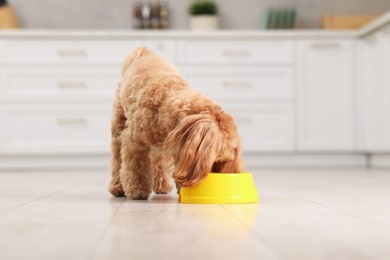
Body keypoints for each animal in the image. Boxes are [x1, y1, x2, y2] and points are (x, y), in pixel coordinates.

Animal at [109, 46, 244, 199]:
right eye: (215, 159)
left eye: (221, 161)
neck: (166, 100)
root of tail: (145, 53)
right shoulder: (133, 143)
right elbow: (136, 167)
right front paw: (138, 190)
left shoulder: (180, 144)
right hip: (118, 126)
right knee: (117, 161)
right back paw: (118, 187)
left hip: (161, 147)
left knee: (159, 161)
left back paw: (162, 185)